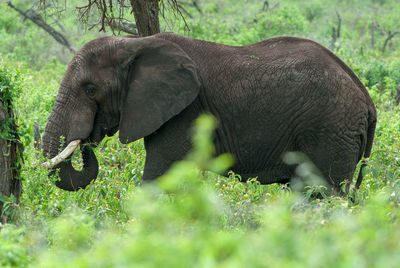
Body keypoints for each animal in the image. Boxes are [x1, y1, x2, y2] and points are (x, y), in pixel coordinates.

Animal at [42, 33, 376, 193]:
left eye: (90, 90)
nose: (87, 141)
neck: (134, 44)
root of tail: (367, 101)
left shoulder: (186, 113)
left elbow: (160, 177)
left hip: (330, 129)